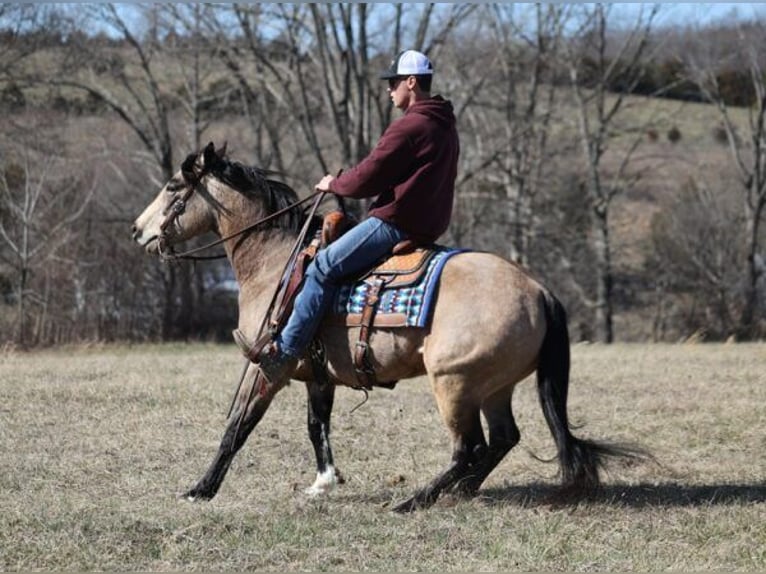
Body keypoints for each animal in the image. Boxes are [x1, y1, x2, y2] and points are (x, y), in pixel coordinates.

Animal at [130, 144, 640, 512]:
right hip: (493, 386)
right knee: (501, 440)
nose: (138, 230)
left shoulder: (270, 365)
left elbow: (238, 426)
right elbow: (316, 424)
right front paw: (324, 482)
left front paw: (200, 489)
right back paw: (459, 492)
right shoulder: (318, 373)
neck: (277, 262)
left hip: (453, 383)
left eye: (174, 186)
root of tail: (539, 291)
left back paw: (415, 500)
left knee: (469, 447)